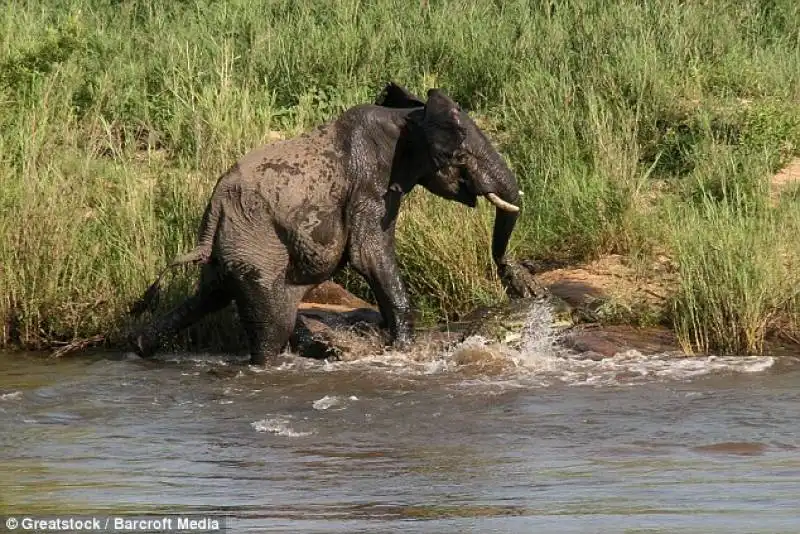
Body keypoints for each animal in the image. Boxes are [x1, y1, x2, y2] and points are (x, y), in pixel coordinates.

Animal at [128, 84, 536, 366]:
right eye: (460, 155)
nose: (517, 278)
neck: (405, 119)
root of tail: (213, 208)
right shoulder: (368, 184)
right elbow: (369, 255)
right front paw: (403, 349)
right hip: (256, 246)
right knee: (269, 327)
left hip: (233, 245)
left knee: (210, 295)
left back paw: (141, 347)